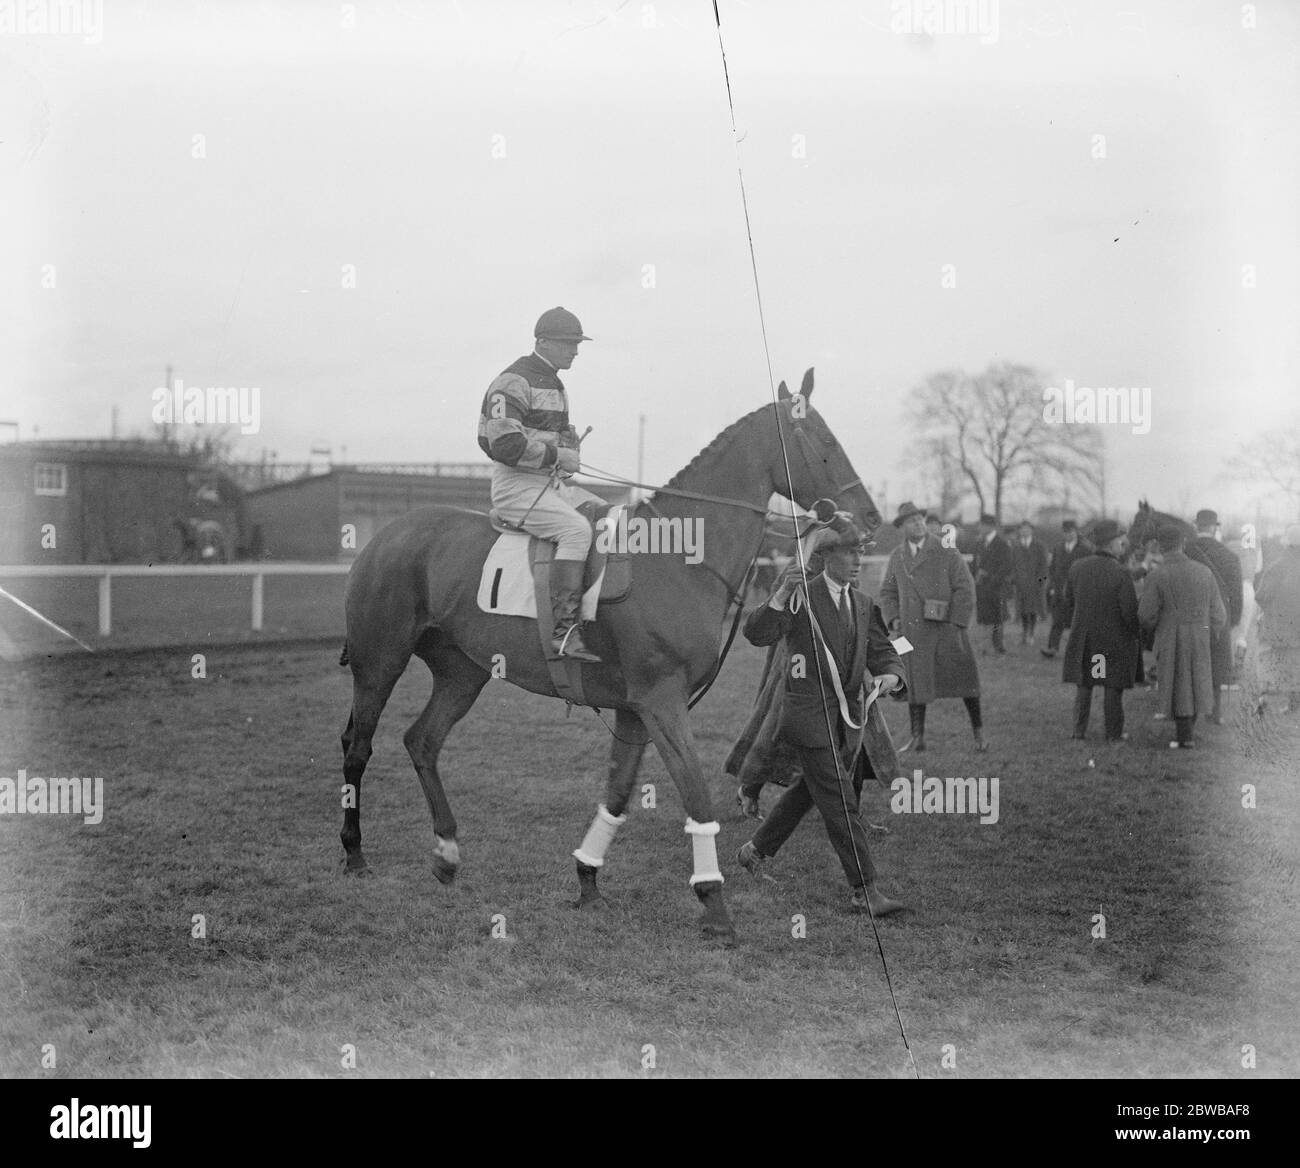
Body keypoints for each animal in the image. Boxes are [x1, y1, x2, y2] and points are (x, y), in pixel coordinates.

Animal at [338, 369, 883, 941]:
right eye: (824, 441)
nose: (869, 518)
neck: (676, 558)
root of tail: (386, 534)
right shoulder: (661, 702)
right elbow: (695, 795)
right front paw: (713, 902)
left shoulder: (634, 709)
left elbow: (618, 794)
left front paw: (588, 879)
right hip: (380, 663)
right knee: (359, 747)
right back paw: (354, 853)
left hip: (462, 672)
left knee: (422, 740)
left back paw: (446, 852)